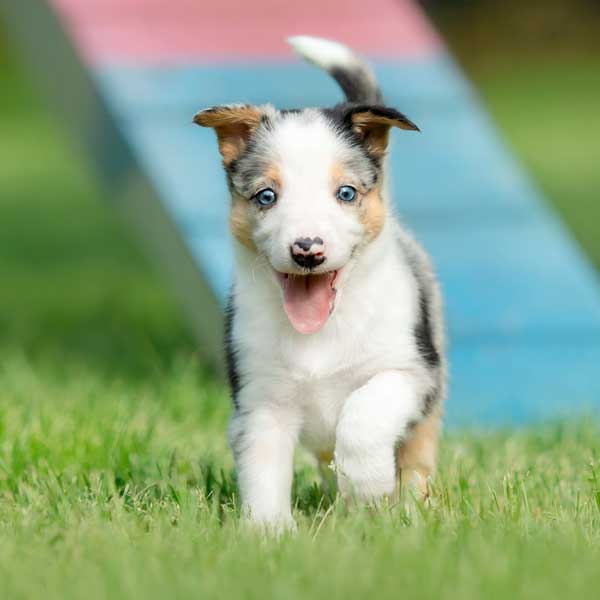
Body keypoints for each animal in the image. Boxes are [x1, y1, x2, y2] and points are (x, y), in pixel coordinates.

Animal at [193, 35, 446, 528]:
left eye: (346, 193)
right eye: (266, 196)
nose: (307, 249)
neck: (323, 329)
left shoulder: (410, 372)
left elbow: (363, 417)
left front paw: (368, 489)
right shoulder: (261, 401)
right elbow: (263, 471)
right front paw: (269, 532)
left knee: (413, 464)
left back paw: (407, 510)